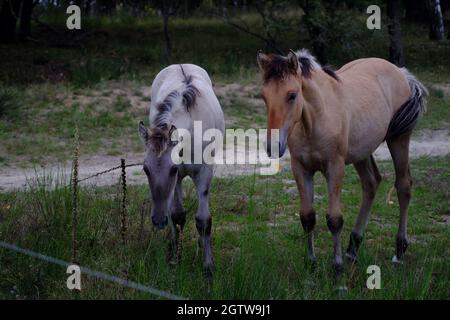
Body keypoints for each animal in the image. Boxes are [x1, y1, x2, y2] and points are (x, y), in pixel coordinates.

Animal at [258, 48, 428, 272]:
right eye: (264, 96)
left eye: (292, 95)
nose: (272, 146)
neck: (315, 120)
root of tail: (401, 72)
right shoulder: (301, 169)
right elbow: (307, 217)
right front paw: (311, 262)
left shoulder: (335, 168)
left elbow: (334, 219)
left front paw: (336, 266)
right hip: (362, 152)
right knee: (371, 183)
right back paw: (353, 248)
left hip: (398, 139)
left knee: (403, 186)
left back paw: (399, 251)